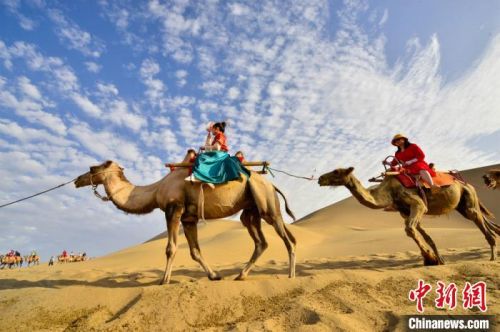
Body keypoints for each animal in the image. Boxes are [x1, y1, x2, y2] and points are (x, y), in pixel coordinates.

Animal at [74, 150, 296, 282]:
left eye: (92, 168)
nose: (76, 180)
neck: (156, 190)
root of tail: (271, 184)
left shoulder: (174, 208)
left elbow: (170, 248)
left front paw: (164, 280)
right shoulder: (188, 218)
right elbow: (194, 251)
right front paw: (214, 275)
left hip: (266, 203)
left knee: (287, 238)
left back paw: (290, 275)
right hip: (251, 209)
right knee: (260, 241)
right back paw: (241, 275)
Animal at [318, 167, 500, 266]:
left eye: (336, 171)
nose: (320, 178)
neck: (388, 192)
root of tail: (465, 182)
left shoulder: (418, 205)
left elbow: (409, 230)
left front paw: (430, 259)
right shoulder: (405, 211)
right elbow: (423, 234)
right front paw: (438, 259)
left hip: (469, 200)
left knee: (480, 221)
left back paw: (492, 256)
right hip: (462, 206)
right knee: (482, 219)